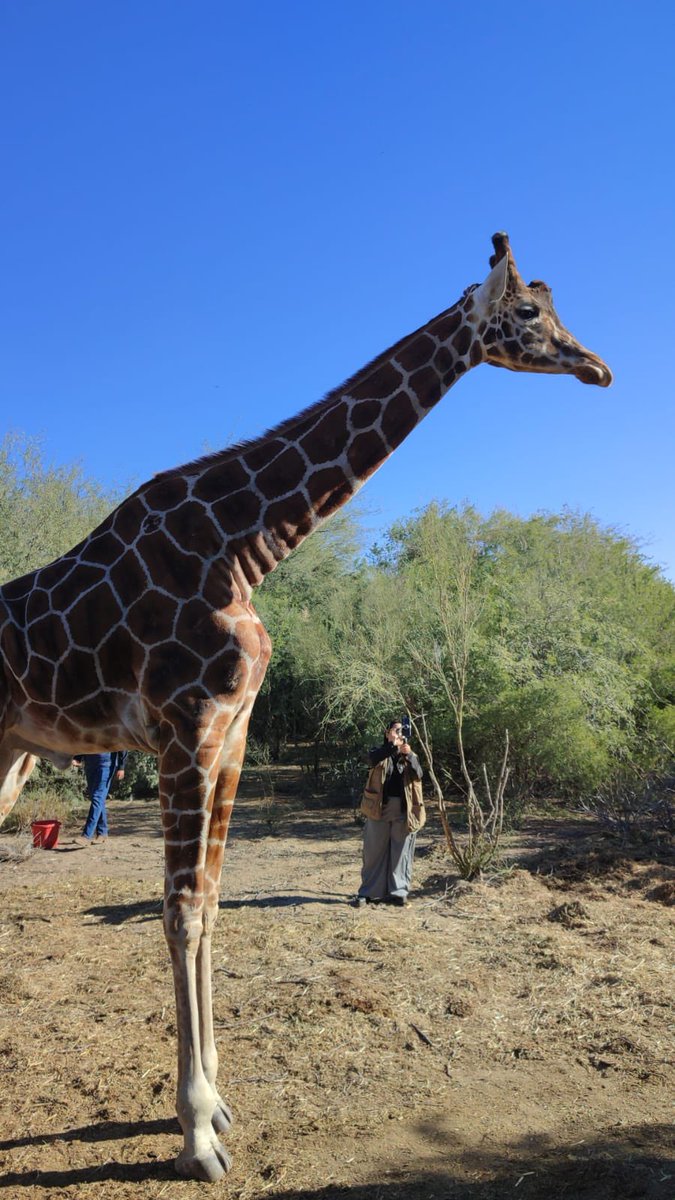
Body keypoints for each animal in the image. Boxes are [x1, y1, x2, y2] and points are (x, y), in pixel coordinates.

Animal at [0, 233, 611, 1181]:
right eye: (526, 314)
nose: (597, 367)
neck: (243, 547)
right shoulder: (185, 727)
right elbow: (180, 907)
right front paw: (193, 1135)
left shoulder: (233, 733)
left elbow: (212, 901)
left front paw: (217, 1104)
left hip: (15, 748)